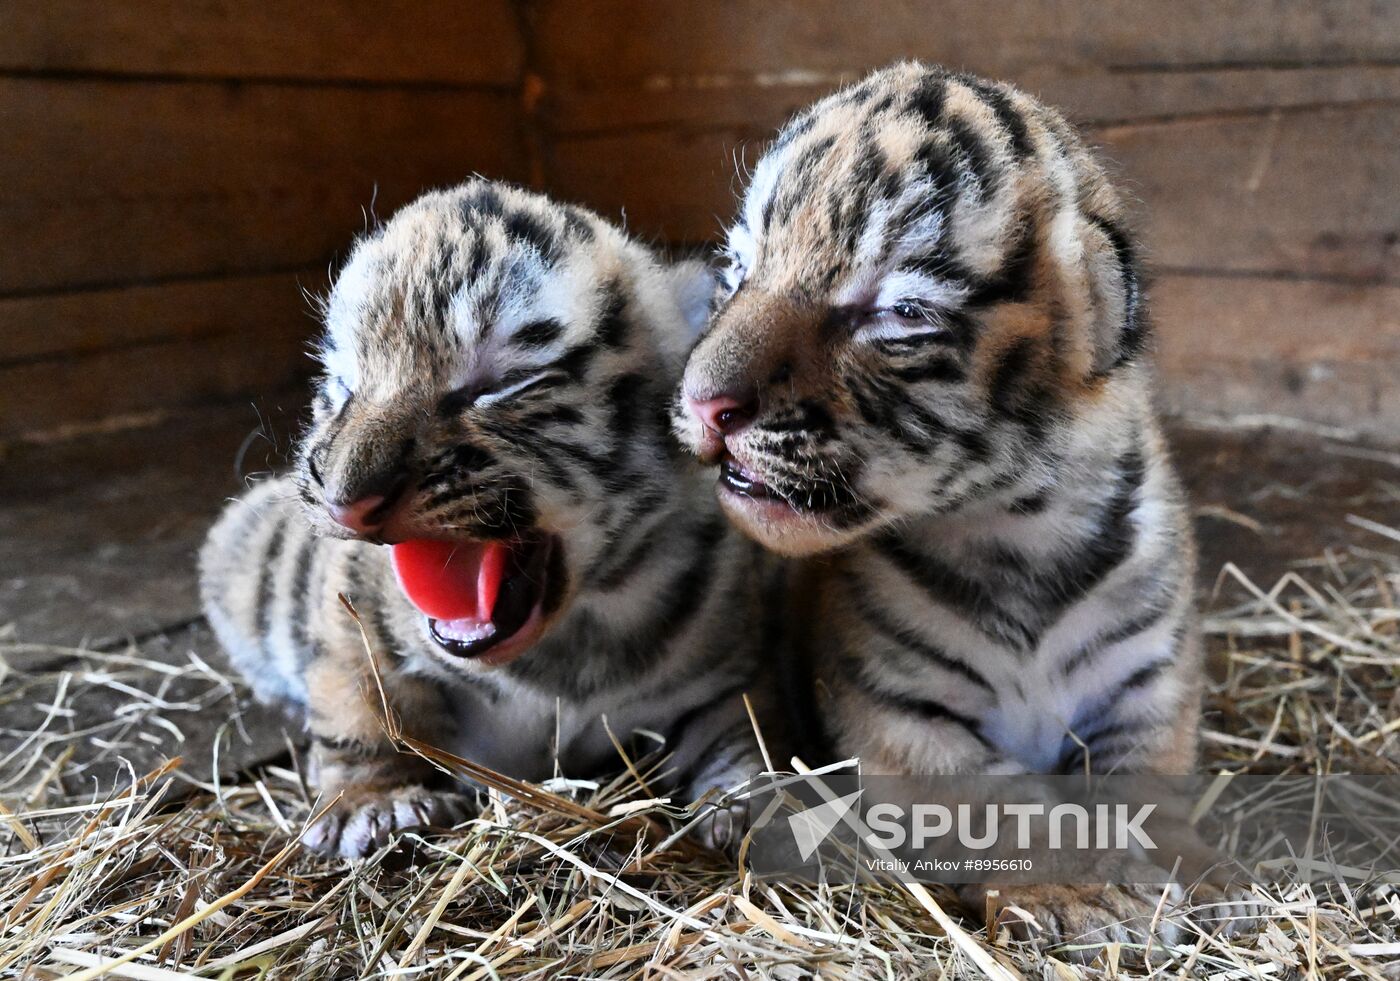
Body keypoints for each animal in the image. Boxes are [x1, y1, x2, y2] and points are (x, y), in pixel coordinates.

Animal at [200, 180, 773, 859]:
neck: (575, 636)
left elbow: (738, 736)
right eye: (342, 386)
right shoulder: (350, 621)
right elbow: (360, 704)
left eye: (504, 383)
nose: (345, 501)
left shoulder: (721, 678)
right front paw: (374, 802)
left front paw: (750, 808)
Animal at [673, 62, 1220, 948]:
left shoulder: (1151, 681)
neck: (1017, 532)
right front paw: (1092, 895)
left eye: (897, 312)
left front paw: (1198, 871)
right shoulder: (899, 713)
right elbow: (1012, 808)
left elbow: (1148, 782)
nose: (701, 402)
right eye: (738, 269)